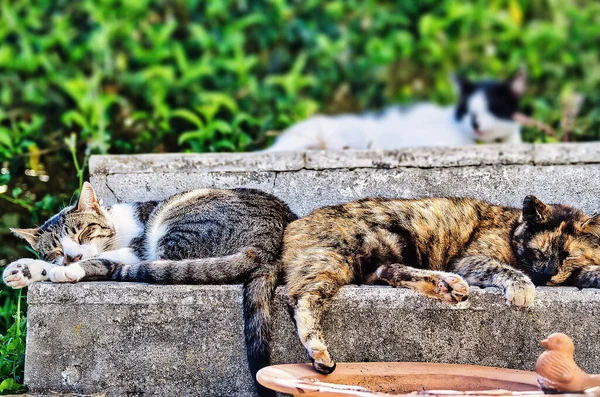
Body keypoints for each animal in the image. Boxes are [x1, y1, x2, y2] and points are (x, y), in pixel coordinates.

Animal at [1, 182, 298, 396]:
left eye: (83, 233)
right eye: (56, 250)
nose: (72, 257)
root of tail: (270, 241)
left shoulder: (137, 247)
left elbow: (104, 258)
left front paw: (50, 268)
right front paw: (25, 269)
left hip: (176, 229)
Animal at [282, 196, 600, 374]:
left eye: (567, 256)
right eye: (540, 253)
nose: (547, 275)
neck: (511, 228)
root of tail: (294, 223)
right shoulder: (469, 259)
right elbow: (504, 268)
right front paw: (523, 288)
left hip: (382, 254)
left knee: (390, 270)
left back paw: (446, 285)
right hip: (335, 258)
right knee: (301, 298)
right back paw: (319, 352)